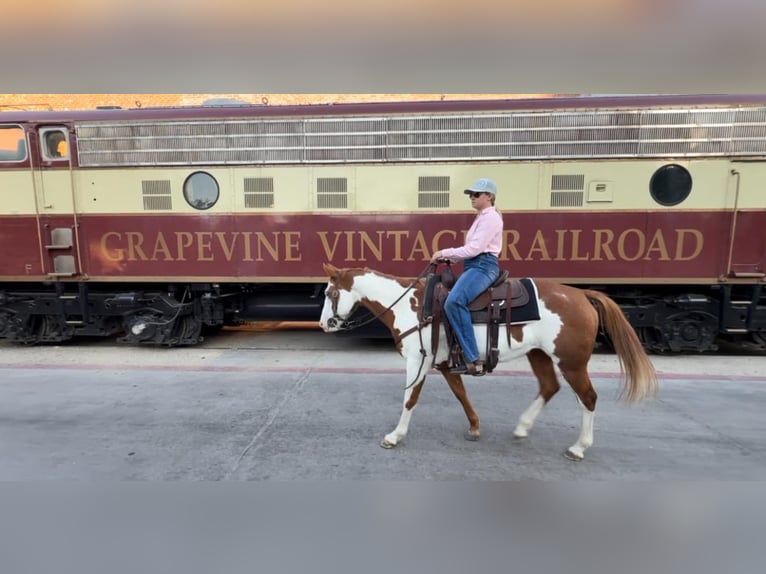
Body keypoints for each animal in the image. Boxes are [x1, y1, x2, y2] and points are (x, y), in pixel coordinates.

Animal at [319, 263, 658, 461]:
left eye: (329, 292)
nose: (324, 324)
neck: (410, 305)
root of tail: (582, 295)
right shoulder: (445, 363)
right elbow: (461, 393)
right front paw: (475, 427)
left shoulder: (418, 360)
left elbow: (410, 399)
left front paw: (394, 436)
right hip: (539, 355)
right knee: (549, 387)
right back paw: (522, 428)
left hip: (571, 362)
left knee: (587, 397)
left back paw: (579, 447)